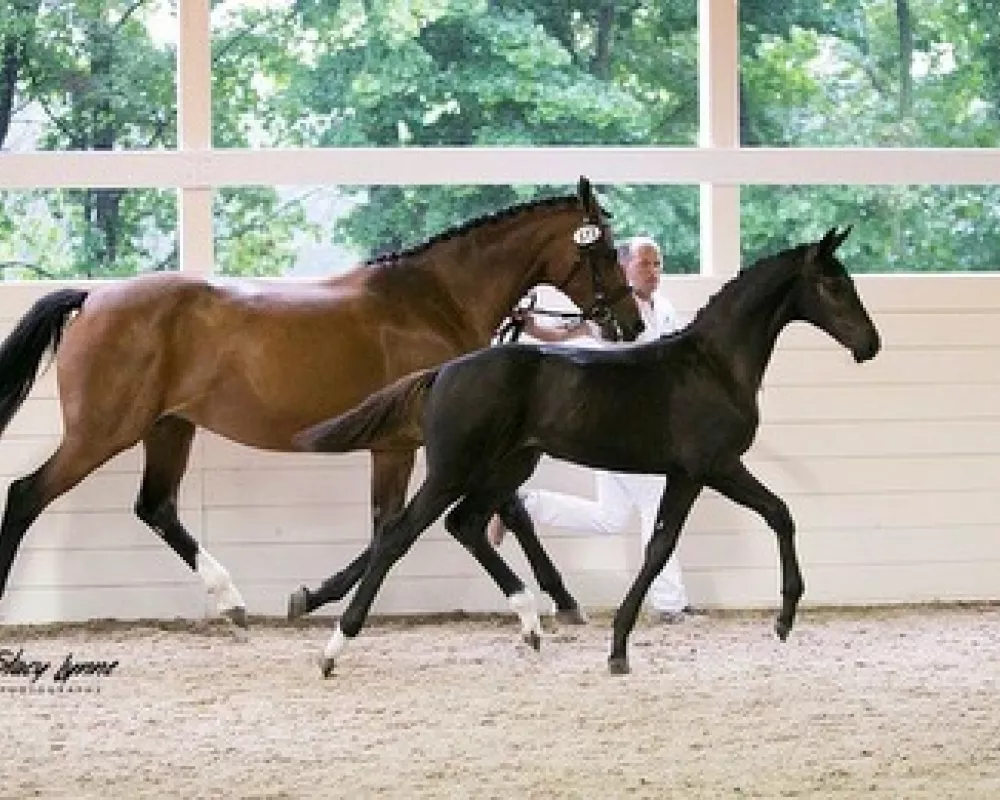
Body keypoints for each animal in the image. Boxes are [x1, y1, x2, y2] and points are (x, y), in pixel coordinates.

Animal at [0, 178, 640, 628]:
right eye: (607, 251)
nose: (631, 325)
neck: (434, 302)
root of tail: (94, 298)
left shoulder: (423, 444)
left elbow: (425, 521)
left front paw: (311, 596)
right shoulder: (414, 443)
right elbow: (407, 524)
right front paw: (561, 597)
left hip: (169, 428)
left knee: (156, 507)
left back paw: (231, 601)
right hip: (103, 432)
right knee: (26, 494)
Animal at [292, 225, 880, 676]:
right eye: (832, 284)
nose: (869, 345)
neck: (712, 364)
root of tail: (442, 373)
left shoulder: (688, 474)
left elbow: (675, 541)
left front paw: (620, 647)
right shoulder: (710, 467)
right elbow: (760, 519)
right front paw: (781, 618)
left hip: (507, 465)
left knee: (466, 524)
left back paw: (530, 621)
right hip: (455, 468)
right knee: (398, 535)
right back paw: (334, 649)